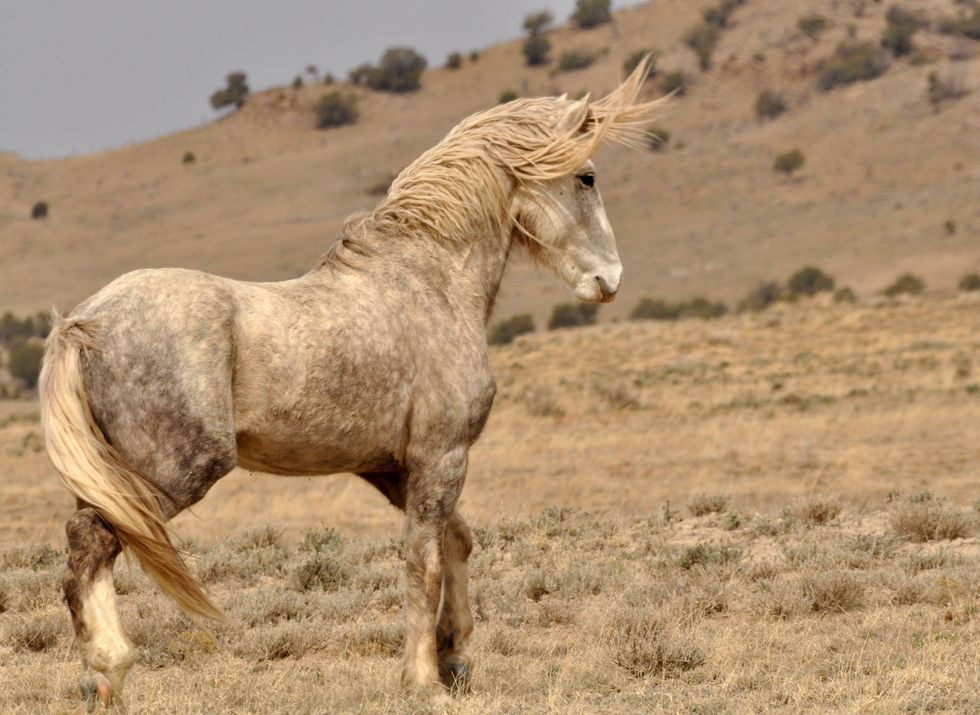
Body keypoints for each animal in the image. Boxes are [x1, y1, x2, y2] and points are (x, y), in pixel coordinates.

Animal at [39, 57, 660, 710]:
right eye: (587, 176)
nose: (609, 279)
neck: (428, 281)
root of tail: (85, 321)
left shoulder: (391, 467)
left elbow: (456, 540)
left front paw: (456, 656)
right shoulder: (442, 456)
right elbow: (423, 563)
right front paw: (424, 680)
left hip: (111, 475)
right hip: (171, 473)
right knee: (90, 541)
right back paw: (110, 669)